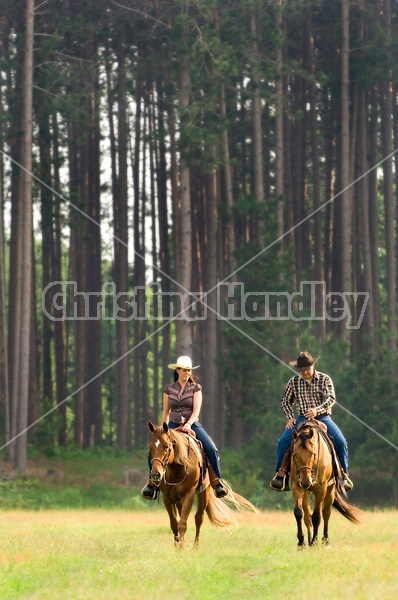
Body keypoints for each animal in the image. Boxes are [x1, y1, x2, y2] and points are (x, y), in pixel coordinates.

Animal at [290, 420, 362, 548]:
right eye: (295, 455)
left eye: (313, 453)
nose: (306, 481)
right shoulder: (296, 486)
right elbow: (298, 513)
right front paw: (301, 542)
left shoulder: (321, 489)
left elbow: (317, 516)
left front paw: (314, 541)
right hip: (306, 492)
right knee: (307, 516)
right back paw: (309, 540)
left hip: (330, 490)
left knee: (326, 513)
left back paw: (325, 539)